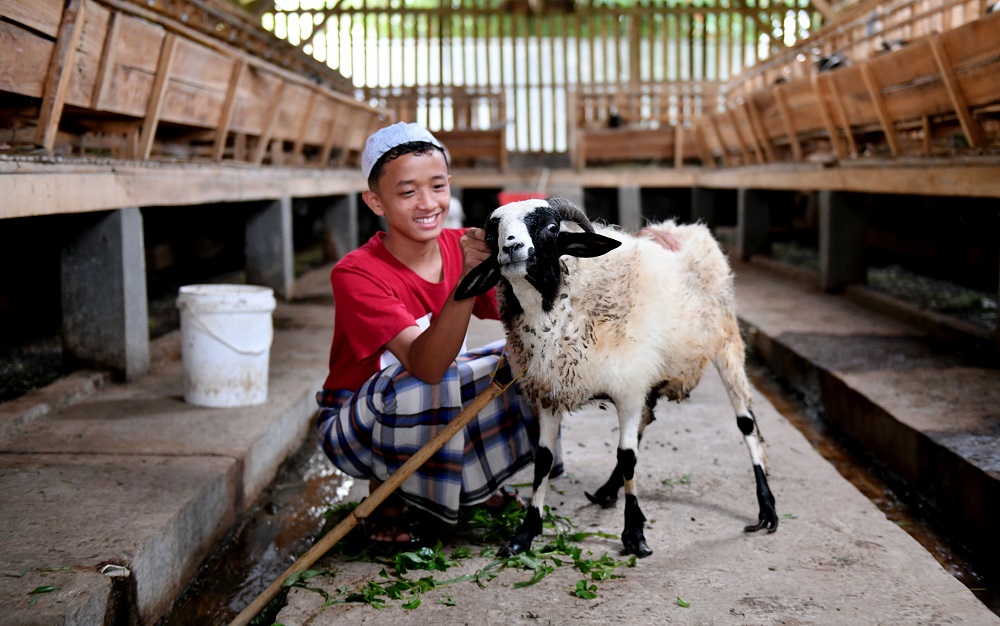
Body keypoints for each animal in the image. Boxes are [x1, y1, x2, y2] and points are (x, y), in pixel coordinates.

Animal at [458, 196, 776, 556]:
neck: (557, 305)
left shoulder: (629, 390)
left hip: (725, 340)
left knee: (745, 421)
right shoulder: (552, 392)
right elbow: (544, 461)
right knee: (644, 424)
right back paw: (608, 491)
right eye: (490, 236)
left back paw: (767, 508)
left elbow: (627, 457)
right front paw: (524, 534)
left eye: (552, 228)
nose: (512, 248)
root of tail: (689, 229)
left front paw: (635, 534)